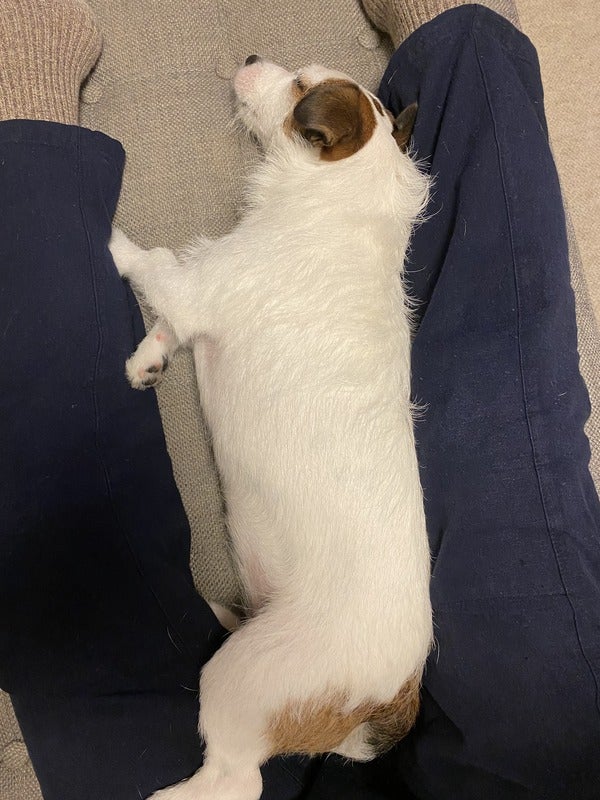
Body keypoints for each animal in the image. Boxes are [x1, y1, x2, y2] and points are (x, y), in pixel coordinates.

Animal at [109, 57, 432, 800]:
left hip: (248, 678)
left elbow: (148, 258)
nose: (253, 57)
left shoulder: (194, 284)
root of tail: (395, 693)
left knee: (236, 780)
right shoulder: (195, 301)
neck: (340, 197)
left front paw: (107, 234)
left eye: (301, 87)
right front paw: (148, 361)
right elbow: (166, 323)